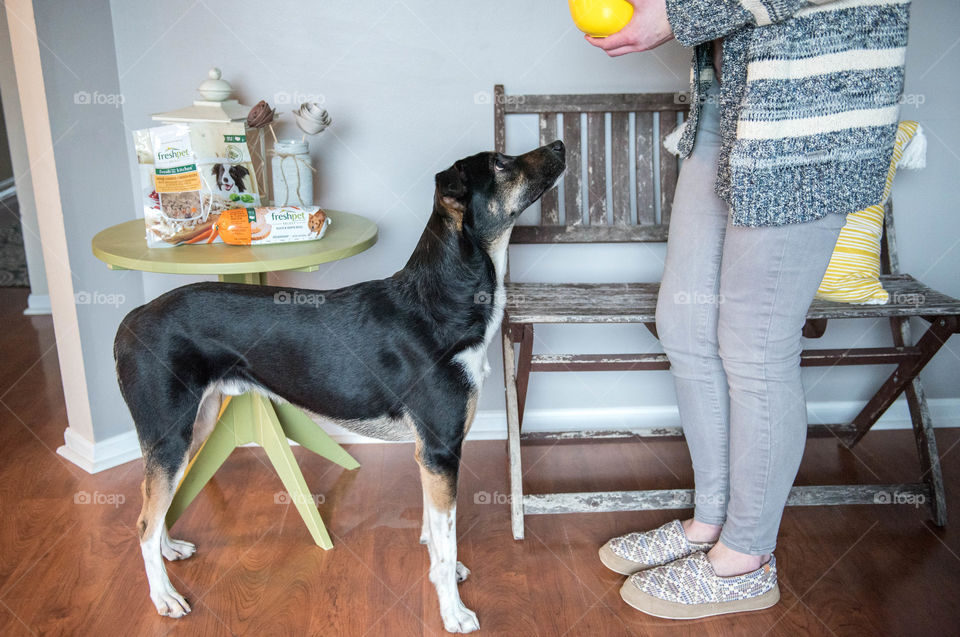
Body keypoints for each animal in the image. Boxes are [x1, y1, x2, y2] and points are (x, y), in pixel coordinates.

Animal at [114, 140, 564, 632]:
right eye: (500, 163)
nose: (560, 146)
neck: (444, 301)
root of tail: (130, 321)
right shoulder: (441, 450)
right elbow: (445, 544)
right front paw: (454, 612)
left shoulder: (428, 454)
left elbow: (433, 531)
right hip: (170, 434)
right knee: (143, 522)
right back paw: (164, 597)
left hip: (193, 426)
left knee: (153, 506)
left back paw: (168, 550)